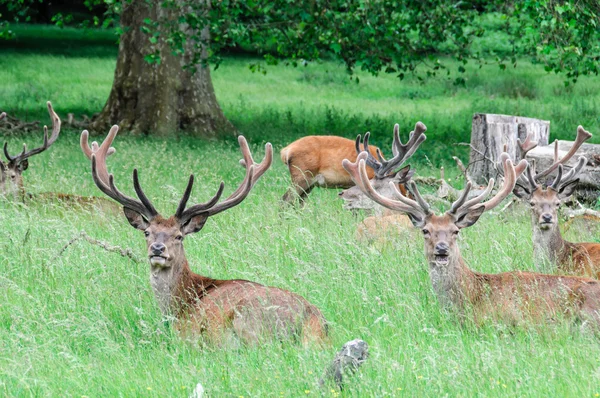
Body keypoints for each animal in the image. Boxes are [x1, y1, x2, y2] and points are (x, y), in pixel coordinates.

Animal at [82, 127, 328, 346]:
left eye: (179, 236)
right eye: (147, 232)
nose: (158, 249)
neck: (177, 305)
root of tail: (311, 319)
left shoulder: (183, 334)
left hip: (249, 321)